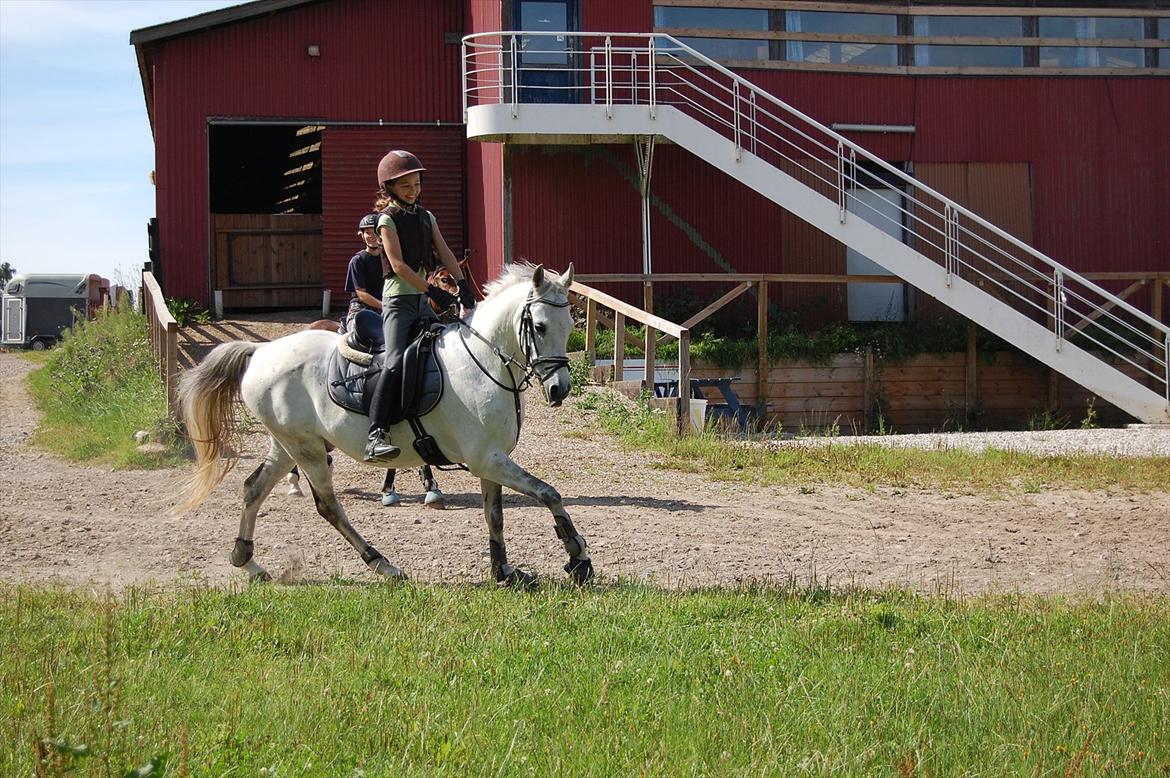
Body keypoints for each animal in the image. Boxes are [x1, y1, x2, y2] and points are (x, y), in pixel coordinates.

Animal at [175, 264, 594, 584]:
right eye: (539, 326)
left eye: (570, 326)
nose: (559, 389)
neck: (483, 361)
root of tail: (260, 351)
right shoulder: (486, 459)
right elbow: (548, 493)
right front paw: (577, 557)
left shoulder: (490, 460)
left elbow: (496, 515)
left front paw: (504, 571)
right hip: (306, 449)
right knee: (328, 506)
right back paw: (382, 564)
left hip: (287, 443)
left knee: (253, 490)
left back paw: (248, 562)